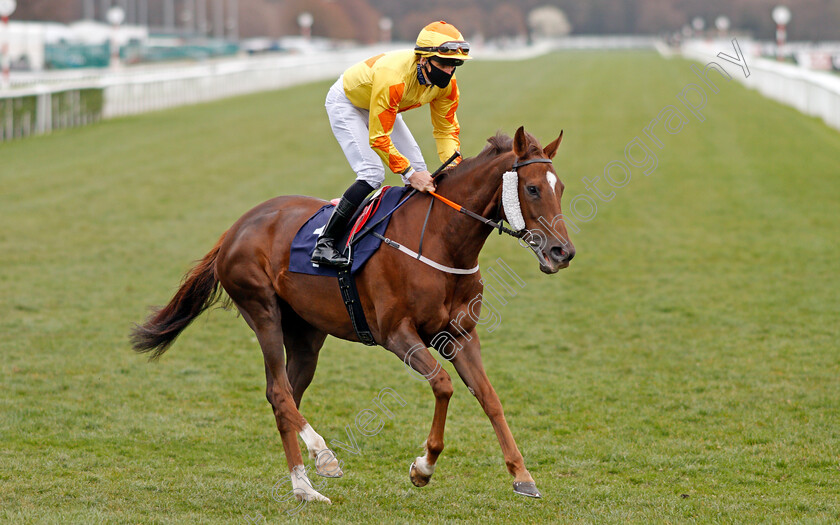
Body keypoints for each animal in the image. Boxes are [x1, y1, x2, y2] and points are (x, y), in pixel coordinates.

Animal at [131, 125, 576, 502]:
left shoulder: (461, 335)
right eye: (532, 188)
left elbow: (489, 398)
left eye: (560, 187)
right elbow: (444, 385)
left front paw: (522, 476)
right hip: (262, 311)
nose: (563, 252)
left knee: (285, 395)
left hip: (306, 334)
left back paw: (303, 486)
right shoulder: (397, 334)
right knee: (278, 391)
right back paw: (323, 456)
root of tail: (235, 228)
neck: (441, 240)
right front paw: (423, 467)